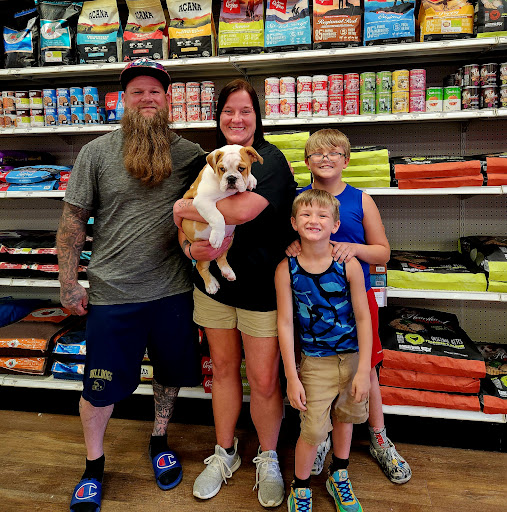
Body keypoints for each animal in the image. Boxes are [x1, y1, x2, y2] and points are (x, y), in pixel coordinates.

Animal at [181, 144, 263, 294]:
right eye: (222, 169)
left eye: (241, 168)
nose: (231, 178)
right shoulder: (202, 200)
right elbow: (217, 216)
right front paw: (216, 236)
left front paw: (251, 179)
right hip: (202, 251)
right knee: (201, 266)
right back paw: (211, 284)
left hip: (230, 240)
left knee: (221, 257)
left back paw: (227, 271)